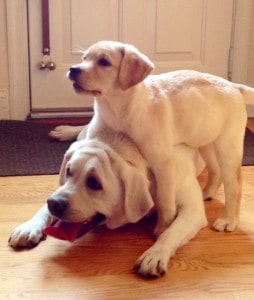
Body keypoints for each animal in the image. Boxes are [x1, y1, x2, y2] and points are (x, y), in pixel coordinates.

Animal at [8, 125, 206, 278]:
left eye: (94, 183)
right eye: (68, 171)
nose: (54, 203)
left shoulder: (193, 209)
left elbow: (171, 232)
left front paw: (155, 254)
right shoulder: (59, 190)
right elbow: (43, 209)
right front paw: (29, 226)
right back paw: (65, 131)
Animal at [67, 40, 254, 237]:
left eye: (104, 62)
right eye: (84, 58)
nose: (73, 69)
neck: (117, 109)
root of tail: (235, 86)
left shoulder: (162, 163)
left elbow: (165, 200)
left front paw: (163, 228)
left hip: (228, 147)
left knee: (235, 185)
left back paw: (228, 220)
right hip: (205, 140)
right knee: (215, 170)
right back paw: (207, 193)